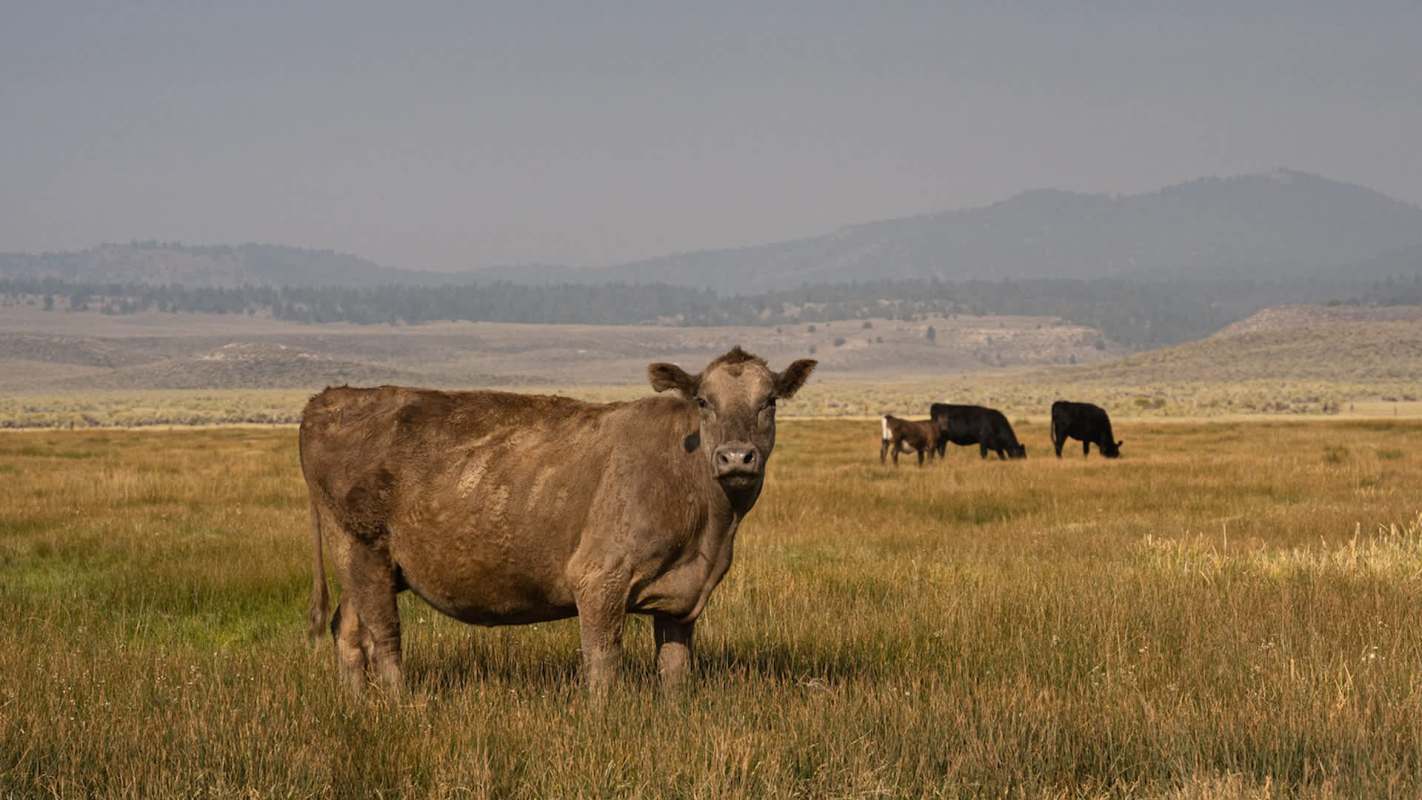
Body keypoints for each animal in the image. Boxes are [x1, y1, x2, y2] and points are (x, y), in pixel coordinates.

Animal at [299, 346, 816, 697]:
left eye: (769, 401)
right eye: (704, 402)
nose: (736, 456)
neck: (710, 529)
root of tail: (329, 399)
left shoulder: (678, 599)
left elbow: (675, 669)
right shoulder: (599, 577)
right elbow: (603, 664)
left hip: (366, 567)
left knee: (349, 630)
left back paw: (358, 705)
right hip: (362, 549)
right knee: (384, 637)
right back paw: (400, 705)